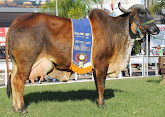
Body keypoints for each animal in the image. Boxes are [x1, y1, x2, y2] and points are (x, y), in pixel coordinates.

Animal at [5, 2, 159, 114]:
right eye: (141, 13)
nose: (156, 29)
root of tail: (17, 20)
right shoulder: (102, 64)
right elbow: (101, 85)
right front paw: (102, 104)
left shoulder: (95, 67)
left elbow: (97, 85)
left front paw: (98, 102)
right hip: (26, 63)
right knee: (18, 82)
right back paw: (22, 109)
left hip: (16, 64)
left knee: (12, 80)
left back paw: (15, 108)